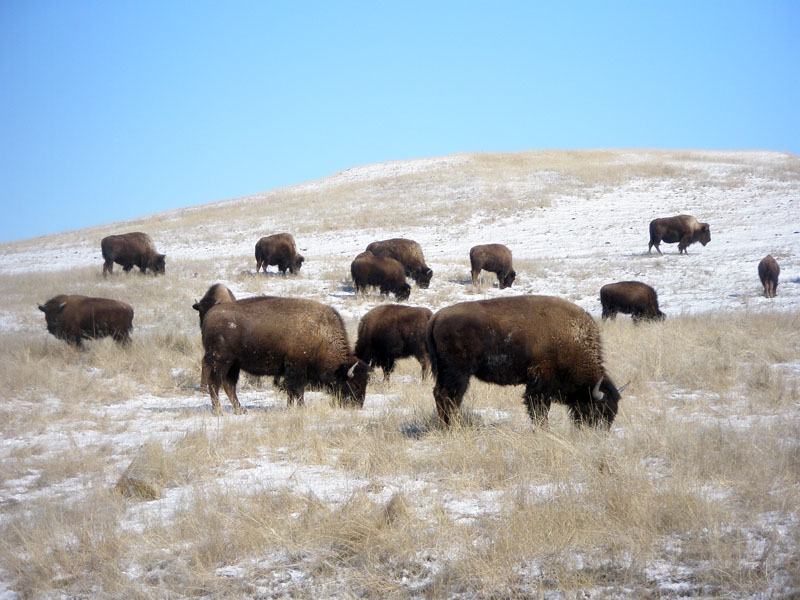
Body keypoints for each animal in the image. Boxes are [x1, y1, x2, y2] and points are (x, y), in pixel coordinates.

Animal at [202, 296, 374, 412]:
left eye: (365, 383)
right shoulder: (297, 368)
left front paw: (290, 407)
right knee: (215, 383)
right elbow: (297, 390)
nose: (357, 405)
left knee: (229, 385)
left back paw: (241, 410)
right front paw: (302, 407)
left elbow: (291, 391)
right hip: (221, 361)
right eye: (355, 384)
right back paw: (219, 412)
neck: (320, 334)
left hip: (234, 365)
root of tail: (209, 315)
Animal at [428, 294, 620, 426]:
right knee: (449, 397)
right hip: (458, 373)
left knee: (441, 394)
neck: (570, 338)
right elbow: (539, 409)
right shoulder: (540, 382)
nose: (599, 432)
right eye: (599, 409)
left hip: (446, 373)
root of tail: (436, 317)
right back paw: (453, 427)